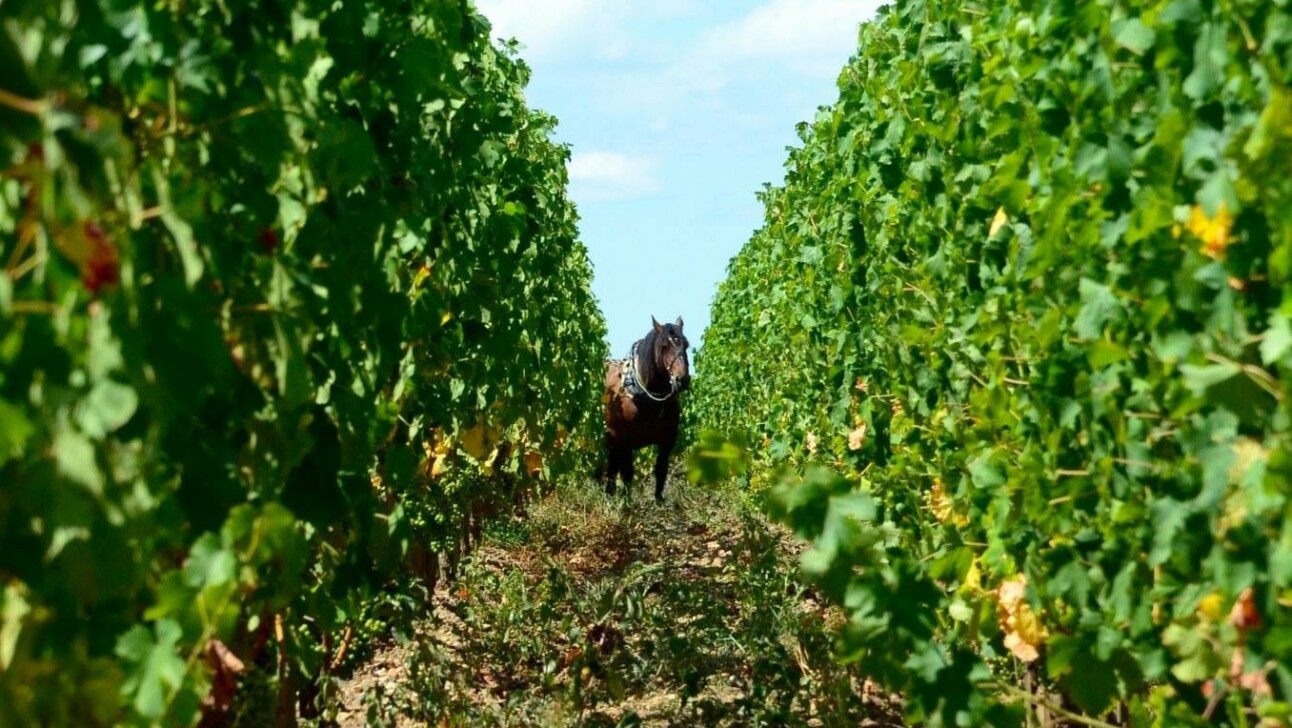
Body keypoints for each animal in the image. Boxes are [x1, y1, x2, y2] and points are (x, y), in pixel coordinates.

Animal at [602, 316, 692, 504]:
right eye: (664, 345)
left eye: (686, 344)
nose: (682, 380)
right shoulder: (625, 439)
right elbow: (628, 472)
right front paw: (626, 501)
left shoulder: (668, 440)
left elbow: (661, 469)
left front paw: (659, 501)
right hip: (614, 437)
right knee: (613, 466)